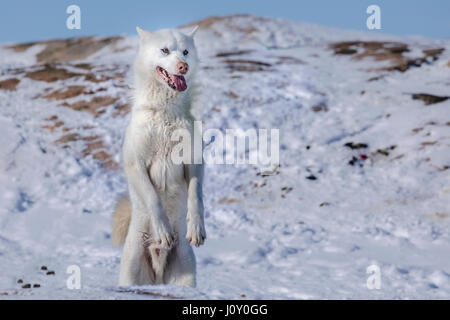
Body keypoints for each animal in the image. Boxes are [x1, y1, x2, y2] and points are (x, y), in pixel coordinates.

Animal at [111, 25, 207, 288]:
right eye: (164, 50)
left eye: (185, 51)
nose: (183, 66)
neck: (164, 111)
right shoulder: (136, 164)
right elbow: (153, 198)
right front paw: (163, 231)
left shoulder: (194, 162)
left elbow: (196, 197)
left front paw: (196, 228)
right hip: (130, 276)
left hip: (185, 276)